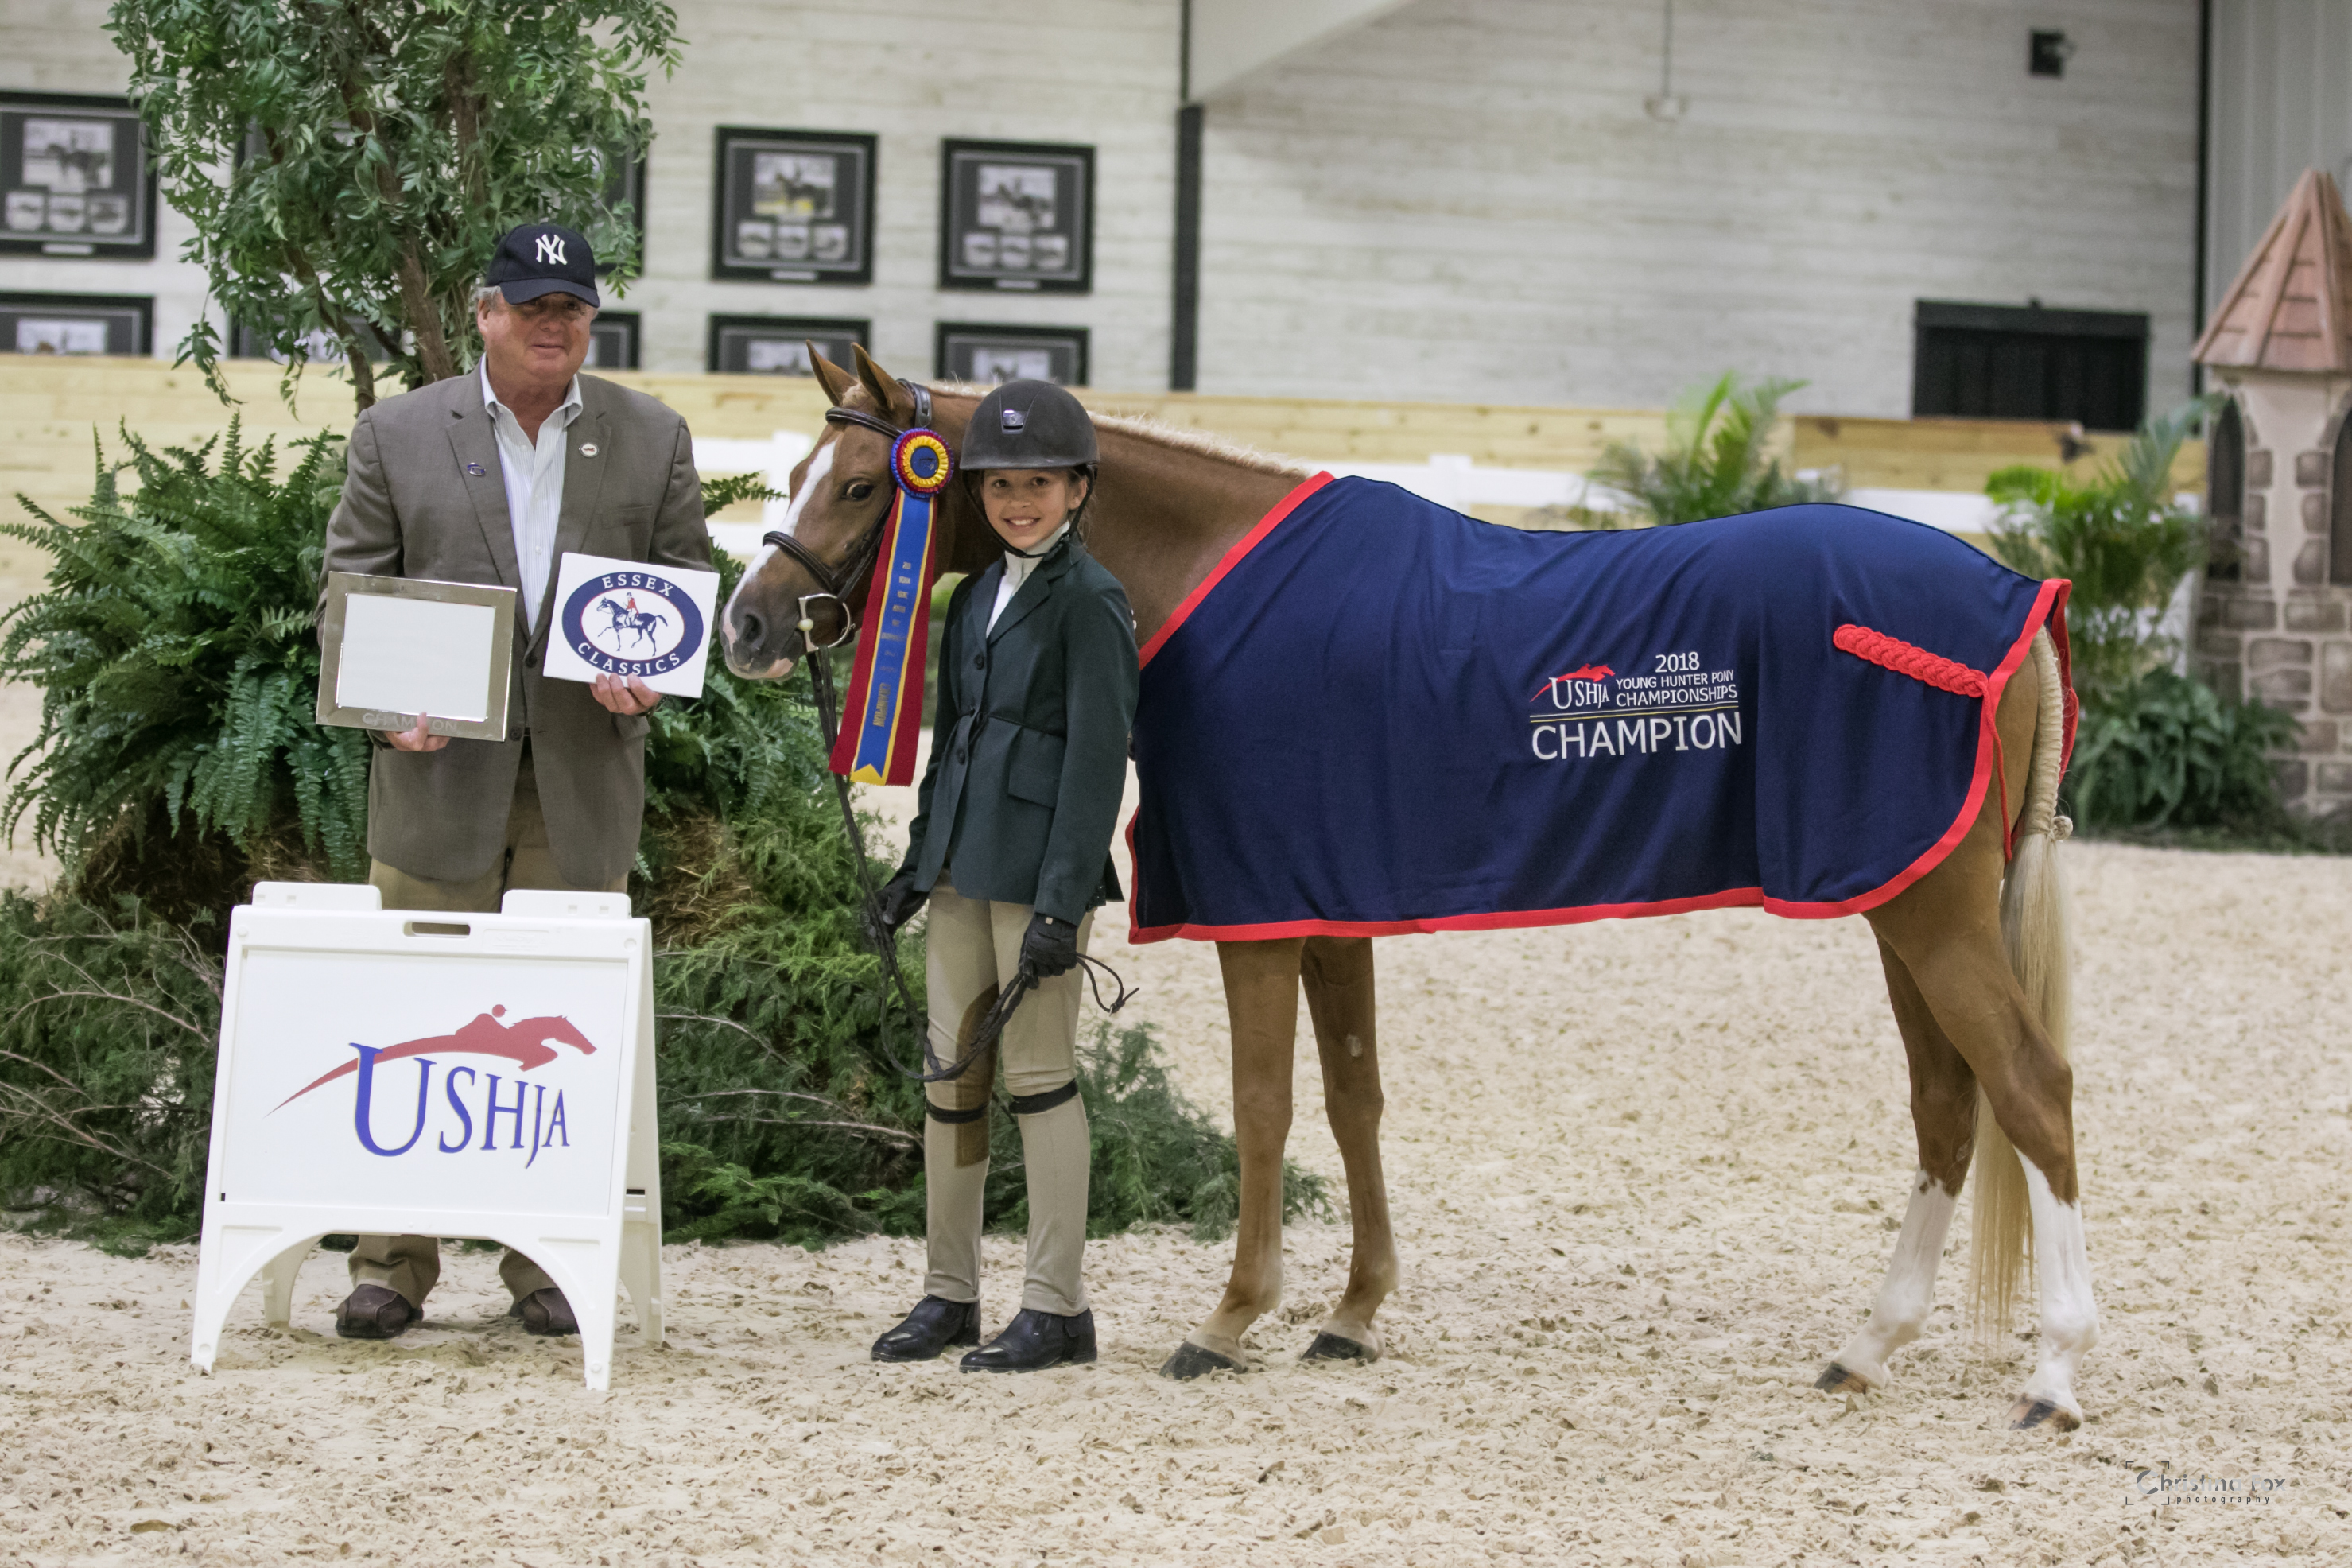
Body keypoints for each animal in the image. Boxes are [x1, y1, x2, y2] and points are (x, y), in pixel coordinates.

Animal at [720, 352, 2098, 1438]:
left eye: (863, 485)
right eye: (798, 470)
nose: (746, 628)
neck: (1209, 579)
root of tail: (2016, 599)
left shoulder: (1258, 918)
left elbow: (1266, 1109)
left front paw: (1230, 1320)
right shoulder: (1329, 912)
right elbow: (1355, 1101)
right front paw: (1353, 1314)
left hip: (1931, 914)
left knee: (2030, 1088)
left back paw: (2053, 1376)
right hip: (1893, 897)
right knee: (1945, 1105)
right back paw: (1867, 1348)